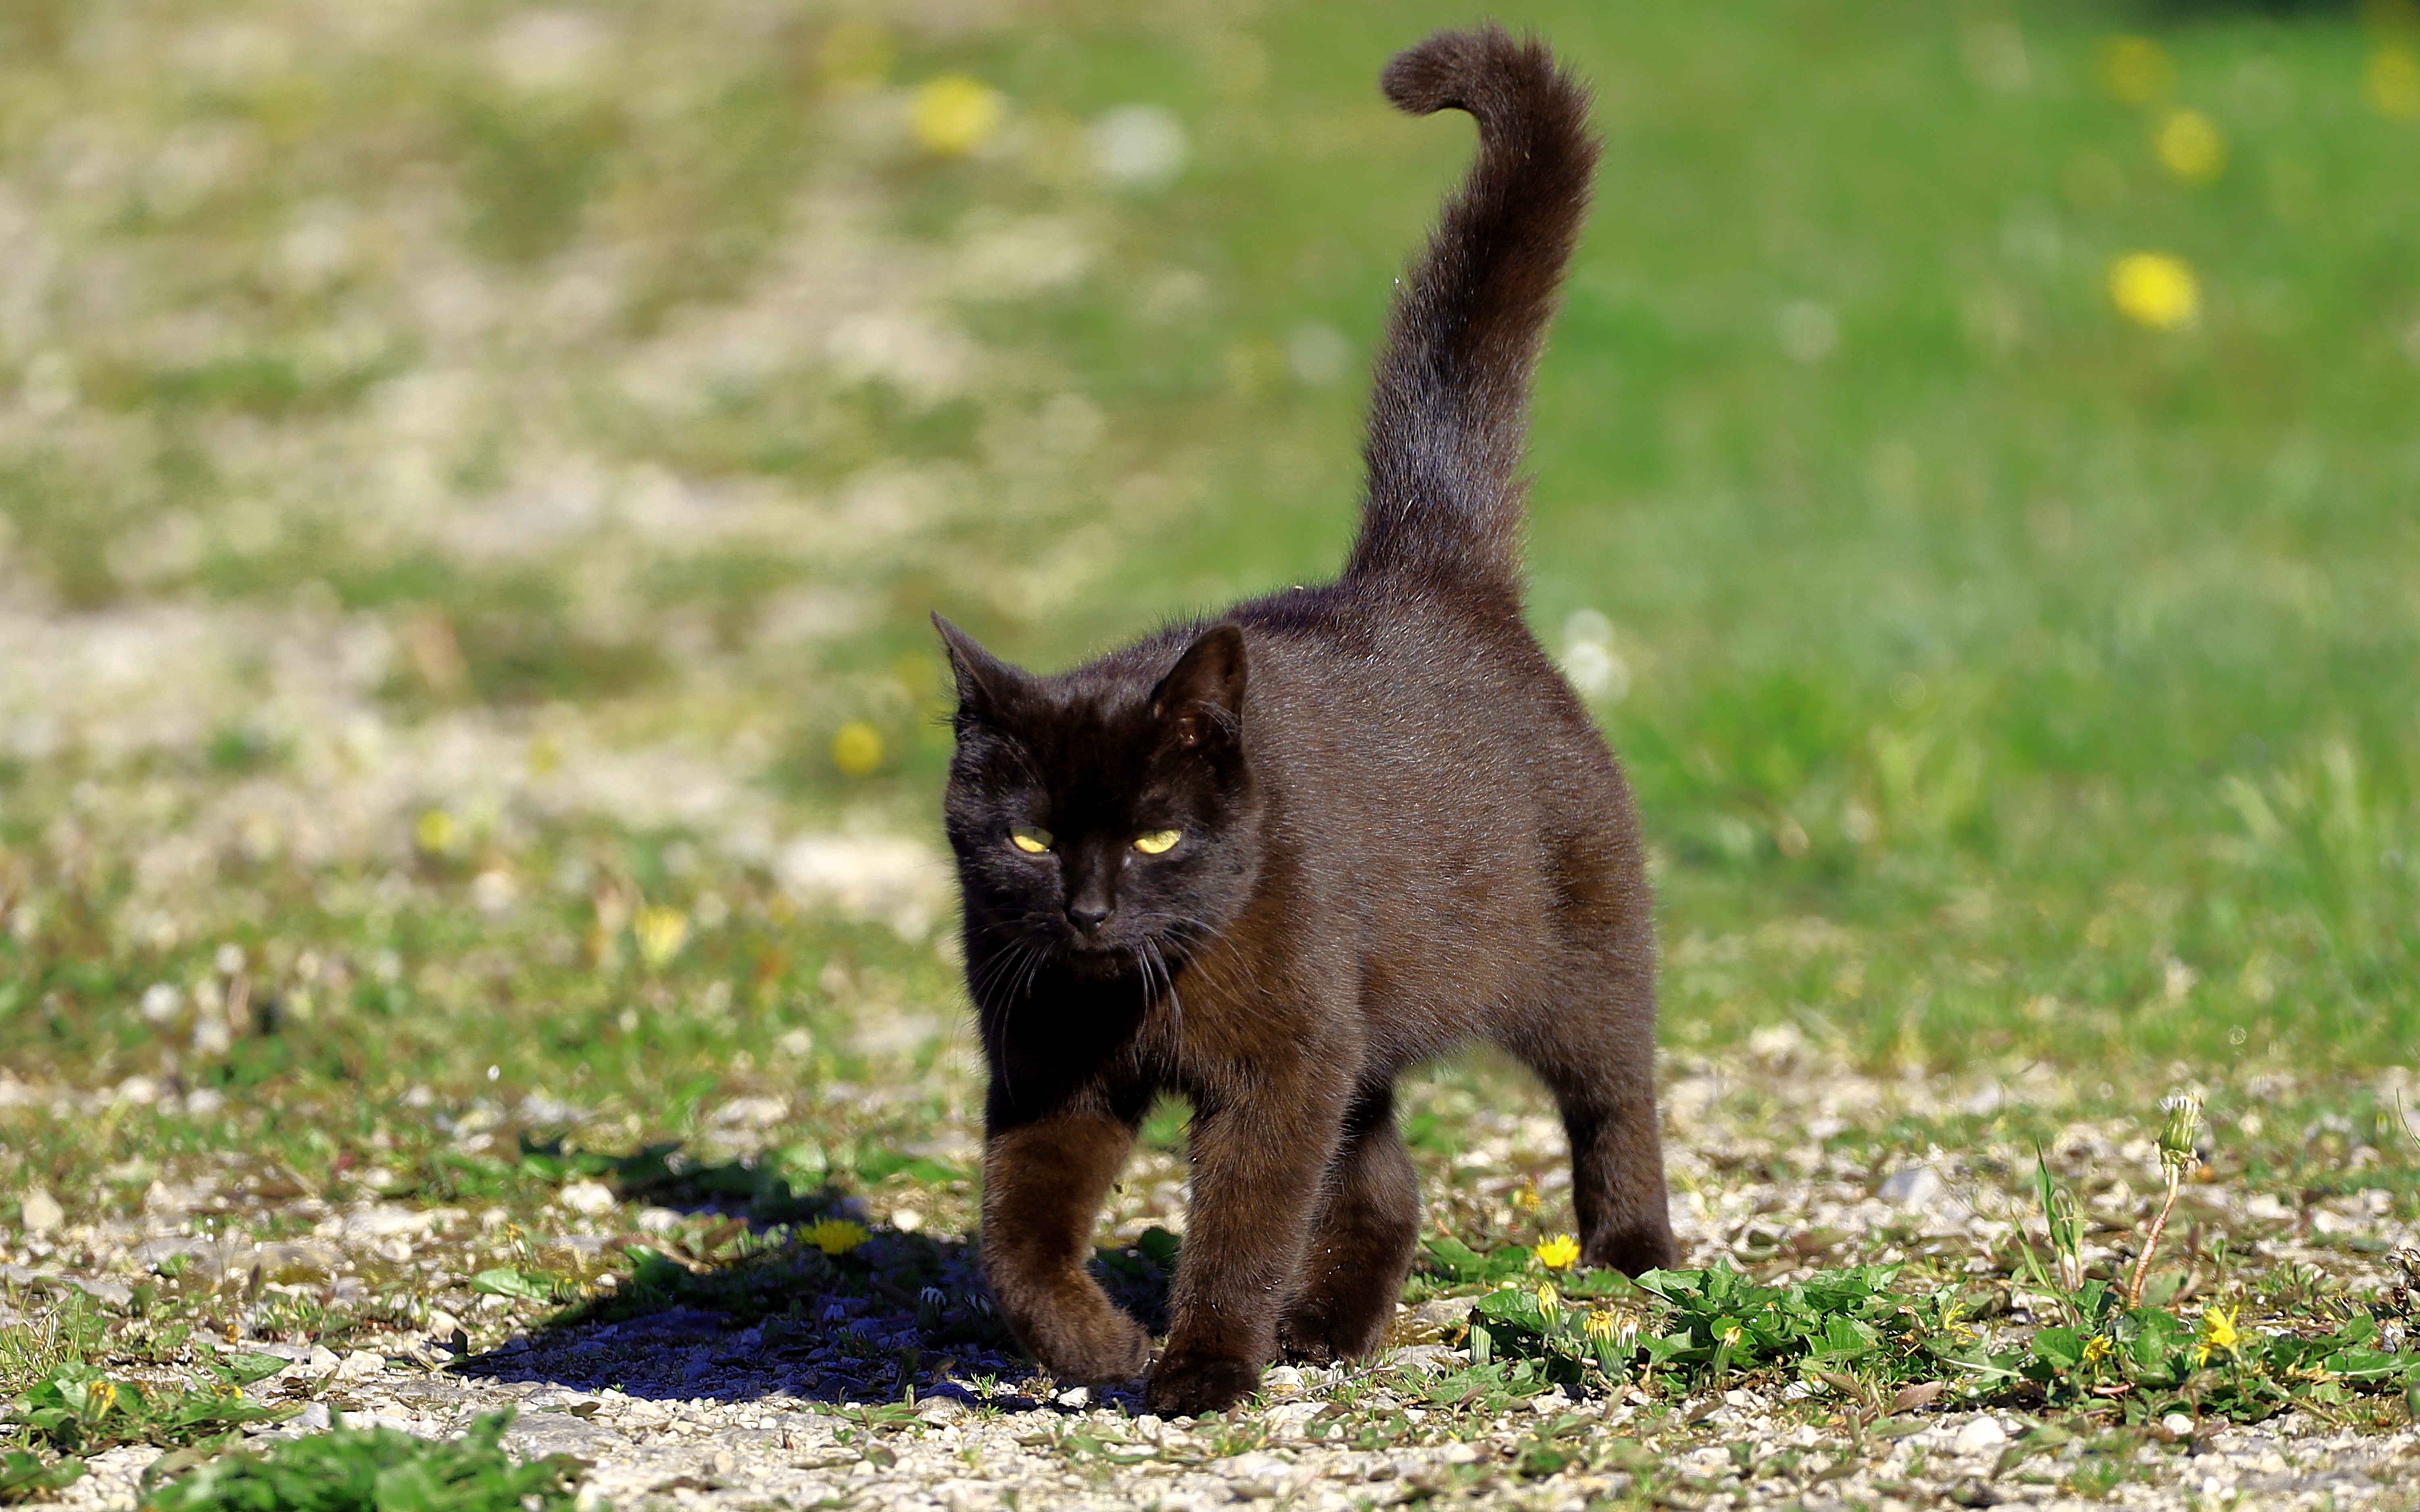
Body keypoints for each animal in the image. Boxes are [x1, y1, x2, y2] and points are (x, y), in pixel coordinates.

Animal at [934, 23, 1675, 1413]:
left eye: (1157, 836)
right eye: (1028, 839)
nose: (1088, 910)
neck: (1142, 990)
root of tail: (1427, 571)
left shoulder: (1276, 1070)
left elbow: (1242, 1221)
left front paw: (1202, 1365)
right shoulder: (1047, 1052)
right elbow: (1015, 1233)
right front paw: (1098, 1345)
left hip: (1581, 949)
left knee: (1615, 1088)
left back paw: (1632, 1249)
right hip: (1357, 1016)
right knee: (1385, 1171)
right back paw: (1331, 1325)